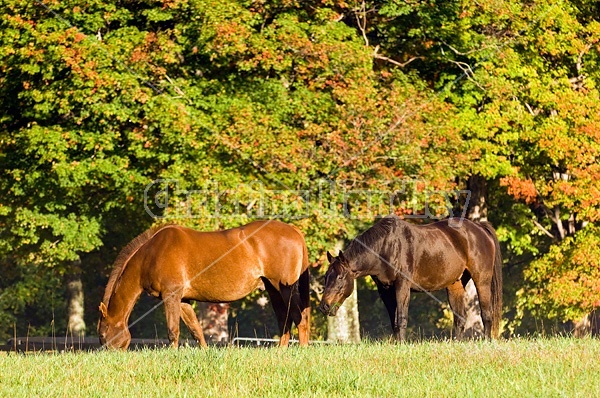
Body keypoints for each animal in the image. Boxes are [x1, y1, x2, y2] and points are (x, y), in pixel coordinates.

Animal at [98, 221, 310, 348]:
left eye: (103, 335)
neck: (151, 253)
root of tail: (295, 231)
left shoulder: (171, 296)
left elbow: (173, 330)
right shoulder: (183, 300)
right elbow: (196, 330)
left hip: (285, 288)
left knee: (299, 317)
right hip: (273, 290)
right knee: (284, 319)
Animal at [318, 216, 502, 340]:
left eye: (340, 277)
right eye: (326, 277)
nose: (324, 306)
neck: (385, 248)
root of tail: (479, 227)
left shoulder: (402, 286)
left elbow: (401, 318)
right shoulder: (385, 290)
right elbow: (393, 321)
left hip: (482, 281)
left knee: (486, 314)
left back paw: (486, 341)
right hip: (455, 285)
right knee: (460, 318)